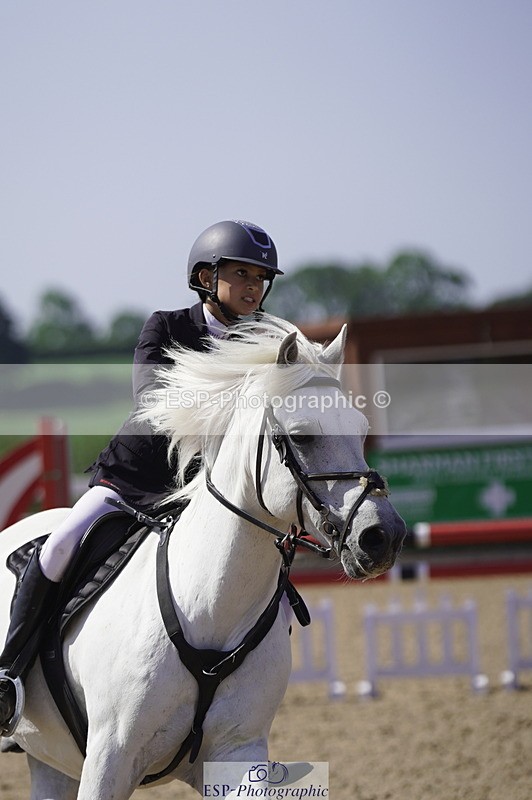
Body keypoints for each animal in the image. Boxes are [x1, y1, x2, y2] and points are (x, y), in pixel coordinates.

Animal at [0, 316, 405, 799]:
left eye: (361, 429)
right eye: (303, 435)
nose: (383, 537)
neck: (212, 607)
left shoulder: (236, 753)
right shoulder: (108, 760)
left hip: (51, 760)